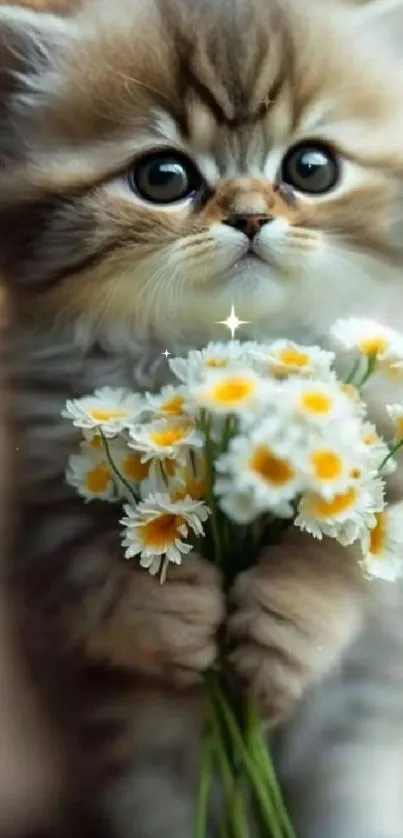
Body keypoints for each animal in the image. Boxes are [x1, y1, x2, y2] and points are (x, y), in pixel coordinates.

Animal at [0, 0, 403, 836]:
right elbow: (93, 566)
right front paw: (170, 608)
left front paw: (285, 616)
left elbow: (347, 554)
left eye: (310, 169)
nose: (249, 216)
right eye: (163, 177)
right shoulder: (41, 502)